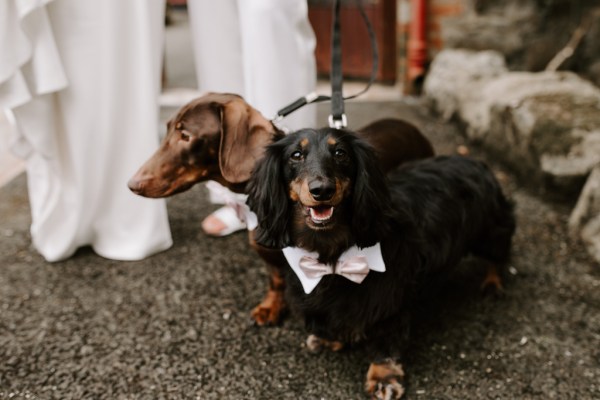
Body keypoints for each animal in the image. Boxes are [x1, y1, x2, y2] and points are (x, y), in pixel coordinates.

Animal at [246, 127, 512, 396]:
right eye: (296, 155)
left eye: (340, 153)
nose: (322, 190)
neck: (333, 255)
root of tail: (473, 160)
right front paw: (330, 338)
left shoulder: (389, 299)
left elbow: (386, 339)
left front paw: (383, 376)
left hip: (490, 232)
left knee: (500, 254)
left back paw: (493, 283)